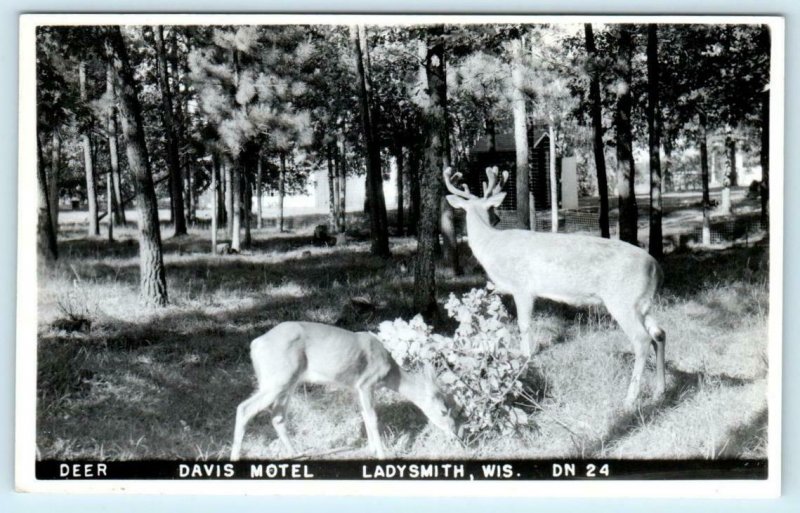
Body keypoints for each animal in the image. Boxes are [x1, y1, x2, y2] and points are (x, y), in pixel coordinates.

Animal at [228, 320, 460, 460]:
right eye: (443, 411)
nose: (455, 433)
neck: (390, 372)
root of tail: (255, 345)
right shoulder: (367, 382)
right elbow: (373, 418)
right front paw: (381, 454)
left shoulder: (356, 388)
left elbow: (364, 416)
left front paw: (371, 449)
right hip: (277, 379)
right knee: (244, 408)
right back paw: (235, 456)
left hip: (288, 382)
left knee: (277, 416)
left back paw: (297, 453)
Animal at [440, 165, 664, 408]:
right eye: (491, 208)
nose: (498, 218)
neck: (491, 245)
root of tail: (655, 267)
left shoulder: (523, 286)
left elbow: (524, 324)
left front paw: (525, 358)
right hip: (641, 303)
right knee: (659, 333)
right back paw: (659, 391)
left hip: (622, 300)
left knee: (642, 339)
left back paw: (630, 399)